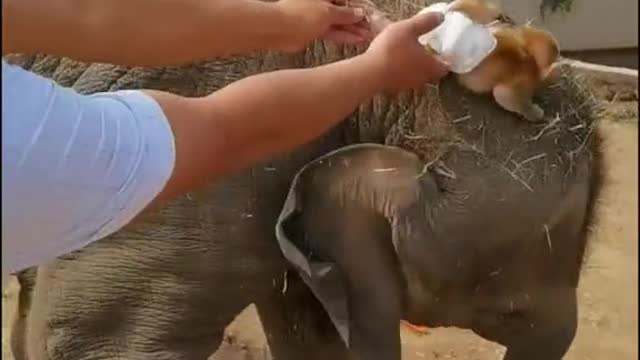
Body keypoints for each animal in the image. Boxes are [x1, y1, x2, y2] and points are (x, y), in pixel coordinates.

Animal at [356, 0, 560, 122]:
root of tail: (533, 69)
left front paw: (375, 20)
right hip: (534, 38)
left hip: (503, 94)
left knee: (526, 108)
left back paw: (537, 112)